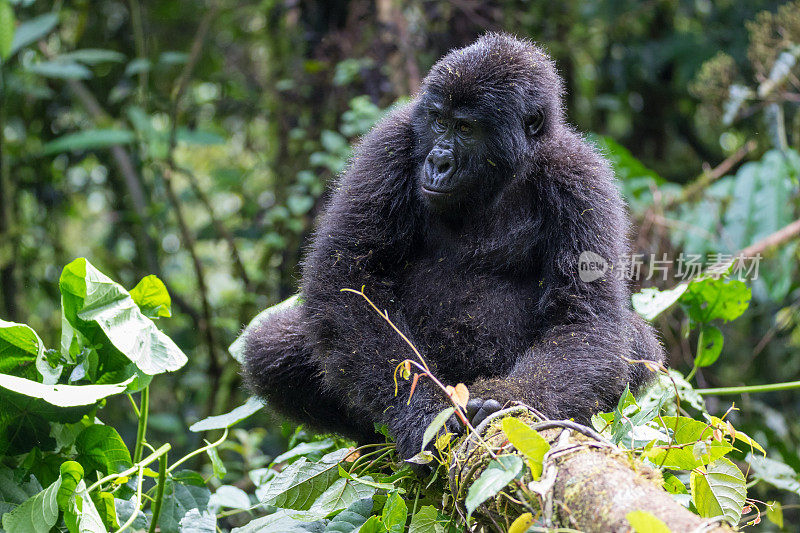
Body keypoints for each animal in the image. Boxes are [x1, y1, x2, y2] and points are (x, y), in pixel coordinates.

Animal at [244, 32, 664, 458]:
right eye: (439, 122)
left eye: (465, 128)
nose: (438, 162)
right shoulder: (389, 144)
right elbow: (349, 279)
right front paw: (423, 413)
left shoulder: (581, 179)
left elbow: (583, 318)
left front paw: (507, 400)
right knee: (269, 346)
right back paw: (371, 439)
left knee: (639, 346)